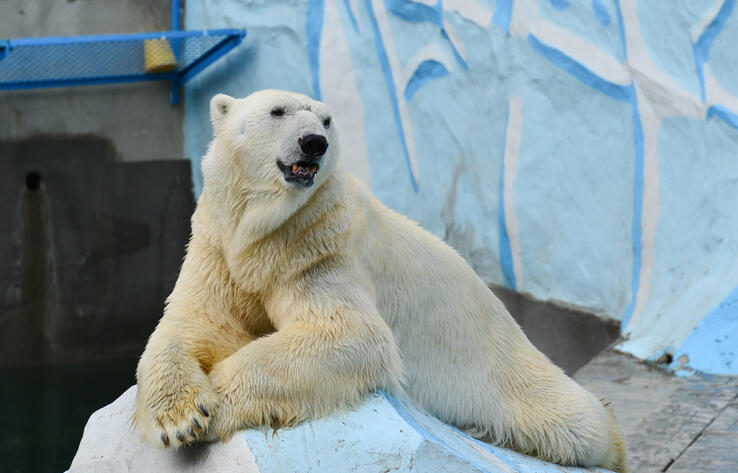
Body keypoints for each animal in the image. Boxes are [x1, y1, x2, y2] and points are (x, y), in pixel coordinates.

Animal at [133, 89, 628, 472]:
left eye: (327, 119)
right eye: (277, 111)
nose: (314, 143)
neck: (263, 232)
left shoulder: (315, 248)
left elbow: (351, 334)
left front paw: (217, 399)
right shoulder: (219, 246)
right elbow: (196, 323)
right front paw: (179, 418)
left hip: (511, 374)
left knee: (576, 421)